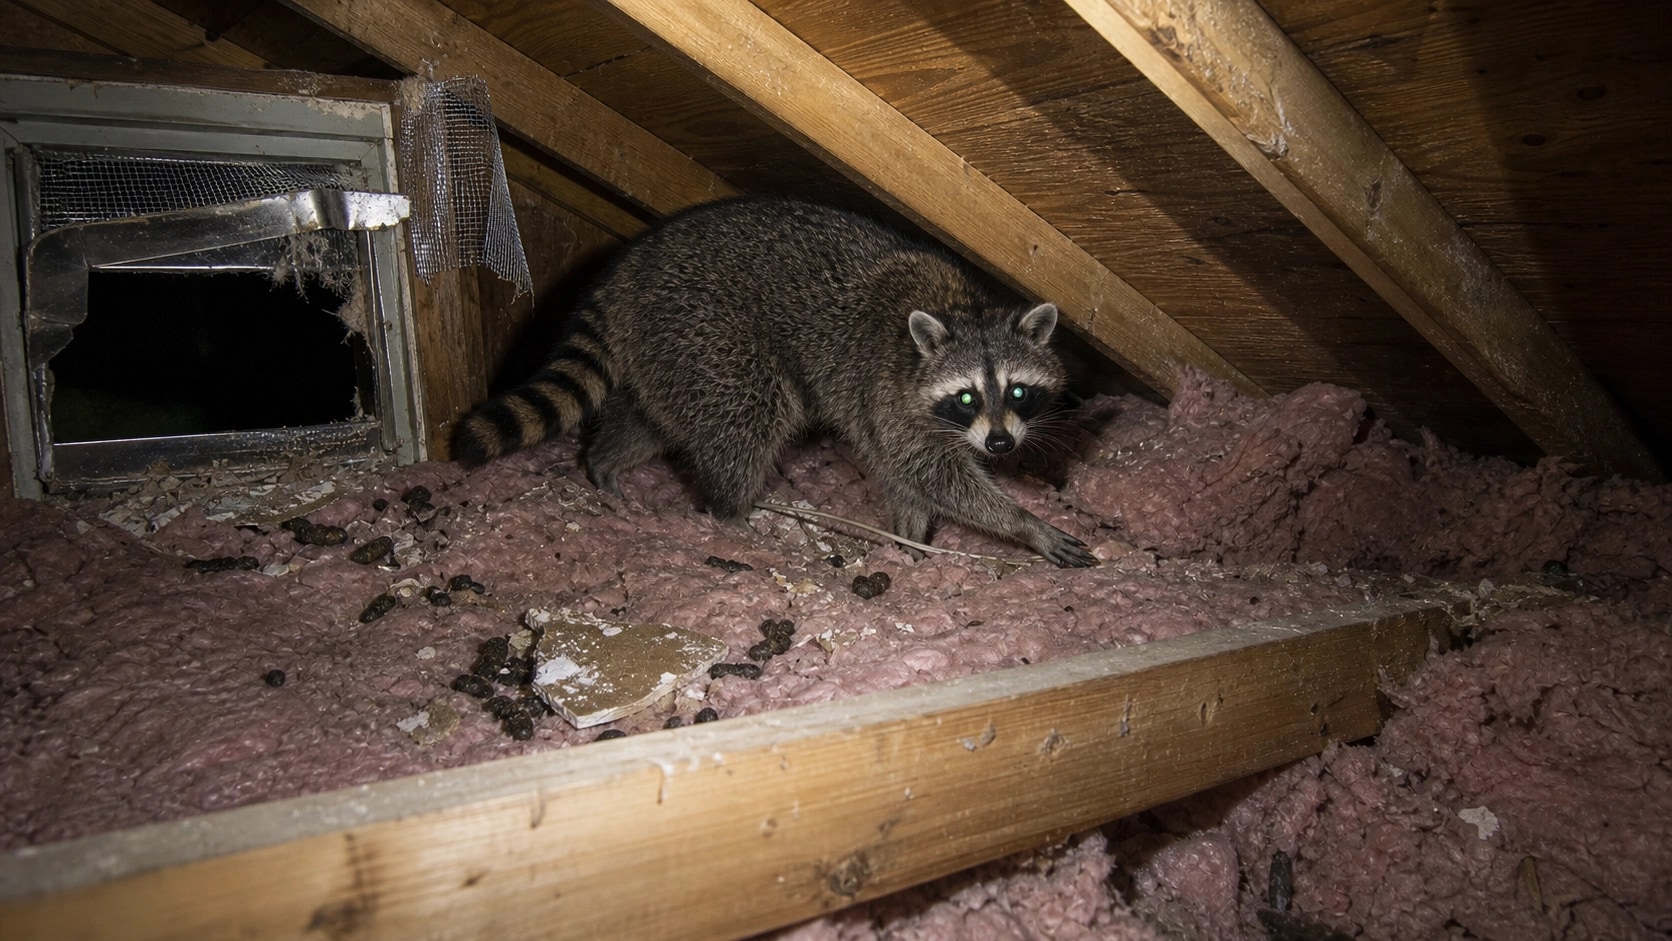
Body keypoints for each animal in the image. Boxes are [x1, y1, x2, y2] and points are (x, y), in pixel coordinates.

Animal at [452, 196, 1096, 567]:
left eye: (1018, 392)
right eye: (966, 397)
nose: (1001, 444)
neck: (961, 309)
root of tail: (630, 267)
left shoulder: (890, 408)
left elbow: (904, 476)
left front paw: (912, 539)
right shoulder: (888, 391)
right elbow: (930, 471)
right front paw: (1022, 524)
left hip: (667, 344)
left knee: (653, 417)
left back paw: (608, 459)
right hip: (707, 323)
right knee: (747, 412)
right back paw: (731, 514)